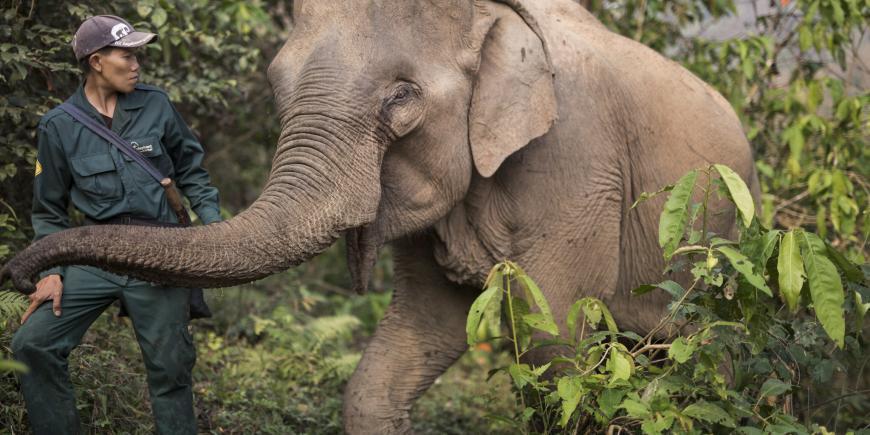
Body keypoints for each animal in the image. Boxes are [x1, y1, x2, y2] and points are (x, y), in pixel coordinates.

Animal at [2, 0, 759, 433]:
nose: (19, 273)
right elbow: (416, 335)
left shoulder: (579, 160)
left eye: (401, 97)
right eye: (276, 83)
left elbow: (554, 342)